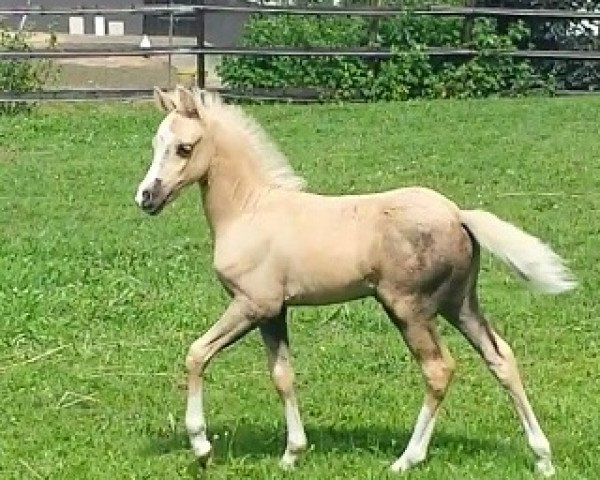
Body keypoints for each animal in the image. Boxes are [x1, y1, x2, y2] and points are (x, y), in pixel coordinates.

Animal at [134, 86, 576, 476]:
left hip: (409, 308)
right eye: (156, 143)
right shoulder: (274, 312)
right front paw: (292, 454)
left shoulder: (252, 304)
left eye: (184, 147)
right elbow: (282, 376)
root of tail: (457, 214)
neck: (251, 209)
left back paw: (406, 460)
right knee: (500, 358)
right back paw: (542, 458)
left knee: (438, 369)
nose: (145, 197)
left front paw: (202, 448)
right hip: (460, 303)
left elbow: (196, 353)